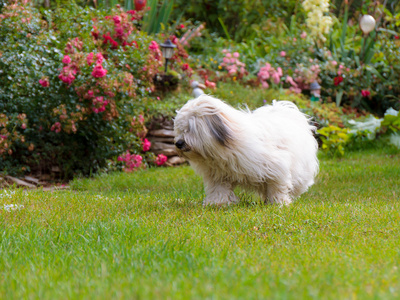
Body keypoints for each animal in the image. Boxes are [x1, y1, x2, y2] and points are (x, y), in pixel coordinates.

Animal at [173, 95, 318, 205]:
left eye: (190, 128)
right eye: (179, 129)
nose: (178, 143)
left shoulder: (276, 166)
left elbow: (277, 185)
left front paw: (278, 203)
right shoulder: (218, 174)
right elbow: (219, 189)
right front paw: (217, 203)